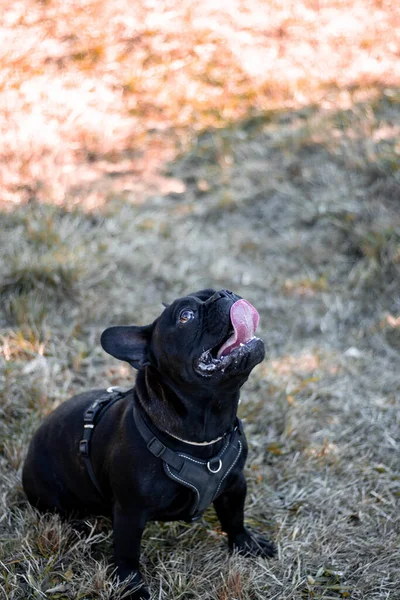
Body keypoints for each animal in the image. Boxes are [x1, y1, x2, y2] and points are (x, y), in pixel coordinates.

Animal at [22, 288, 276, 596]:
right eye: (185, 316)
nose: (225, 293)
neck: (207, 425)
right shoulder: (130, 512)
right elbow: (127, 553)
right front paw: (132, 586)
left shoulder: (235, 484)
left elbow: (234, 518)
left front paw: (246, 544)